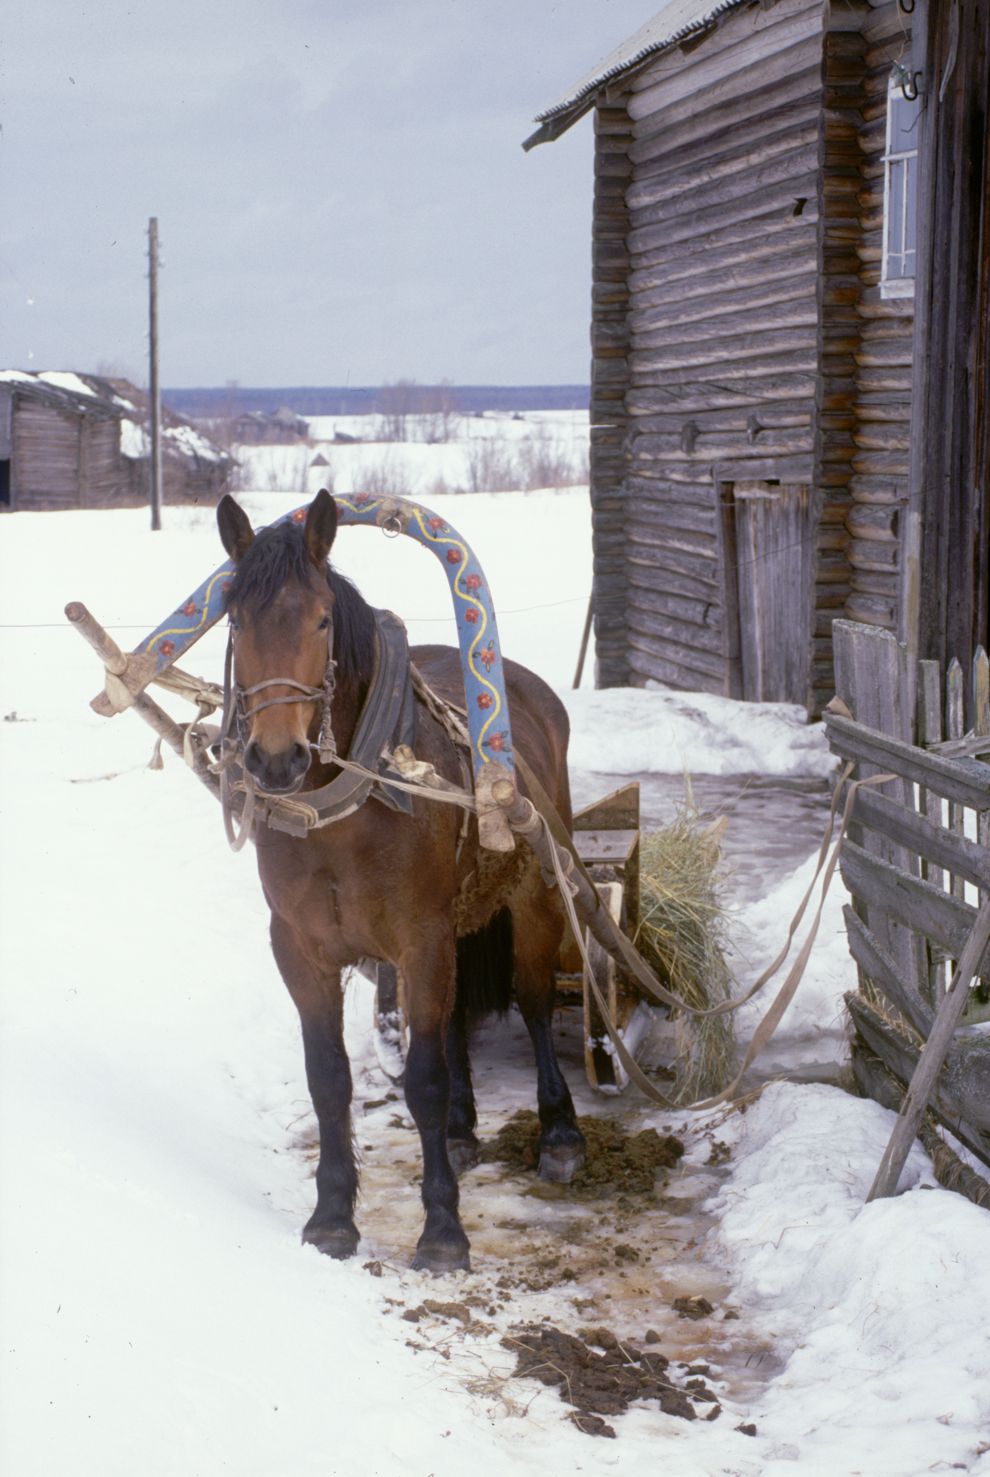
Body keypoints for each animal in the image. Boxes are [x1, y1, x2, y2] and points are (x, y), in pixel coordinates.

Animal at [215, 487, 585, 1270]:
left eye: (322, 618)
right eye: (235, 618)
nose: (276, 760)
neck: (344, 811)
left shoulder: (422, 939)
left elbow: (423, 1079)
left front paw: (442, 1228)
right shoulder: (301, 949)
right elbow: (330, 1079)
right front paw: (331, 1216)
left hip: (535, 894)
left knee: (535, 999)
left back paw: (560, 1130)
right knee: (454, 1018)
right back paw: (463, 1128)